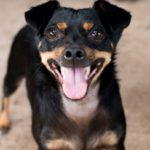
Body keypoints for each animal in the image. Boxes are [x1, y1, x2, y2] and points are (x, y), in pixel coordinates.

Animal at [0, 0, 131, 149]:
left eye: (97, 33)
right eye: (52, 33)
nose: (73, 53)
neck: (79, 106)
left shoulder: (114, 142)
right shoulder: (49, 144)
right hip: (13, 74)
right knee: (6, 94)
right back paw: (4, 122)